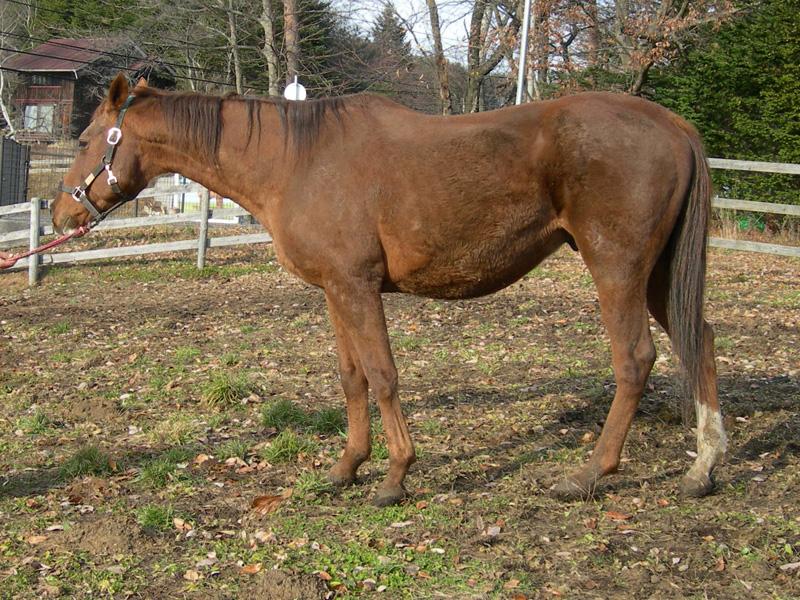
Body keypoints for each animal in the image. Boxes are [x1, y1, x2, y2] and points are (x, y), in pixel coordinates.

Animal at [51, 73, 726, 506]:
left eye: (85, 140)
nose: (61, 216)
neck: (296, 161)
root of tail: (672, 124)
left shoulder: (357, 287)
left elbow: (382, 376)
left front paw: (395, 476)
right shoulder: (334, 290)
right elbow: (352, 379)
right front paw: (347, 467)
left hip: (616, 269)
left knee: (635, 361)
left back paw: (589, 474)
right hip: (658, 275)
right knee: (702, 342)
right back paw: (703, 467)